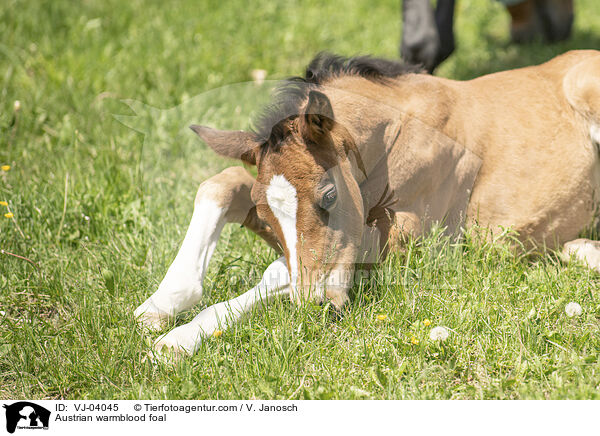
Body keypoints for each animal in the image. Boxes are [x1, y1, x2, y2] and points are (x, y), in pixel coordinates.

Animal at [135, 50, 600, 358]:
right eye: (266, 219)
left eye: (328, 195)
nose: (318, 309)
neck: (396, 129)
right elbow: (223, 184)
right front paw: (161, 309)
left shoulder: (408, 241)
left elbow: (281, 271)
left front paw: (180, 338)